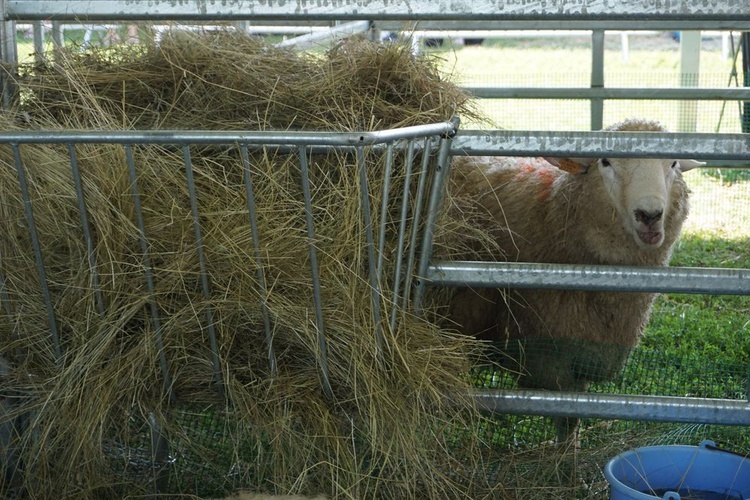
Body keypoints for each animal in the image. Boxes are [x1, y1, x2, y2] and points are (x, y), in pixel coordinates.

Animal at [446, 119, 704, 444]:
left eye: (673, 164)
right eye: (605, 162)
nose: (649, 215)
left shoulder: (584, 350)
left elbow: (573, 414)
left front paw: (569, 449)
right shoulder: (547, 352)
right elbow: (565, 410)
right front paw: (564, 454)